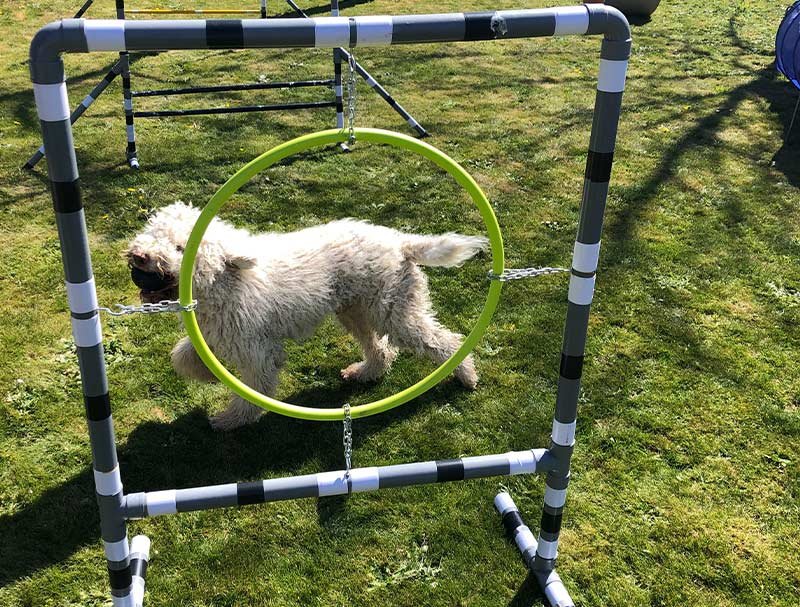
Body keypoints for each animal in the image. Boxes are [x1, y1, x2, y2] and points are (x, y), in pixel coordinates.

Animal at [126, 202, 488, 430]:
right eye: (152, 233)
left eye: (179, 248)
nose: (138, 256)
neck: (222, 281)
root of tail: (401, 242)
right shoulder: (216, 333)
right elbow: (183, 356)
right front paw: (208, 376)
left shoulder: (257, 349)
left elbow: (253, 388)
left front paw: (232, 420)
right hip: (355, 311)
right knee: (381, 350)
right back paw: (365, 373)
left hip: (394, 313)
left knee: (443, 340)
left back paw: (467, 375)